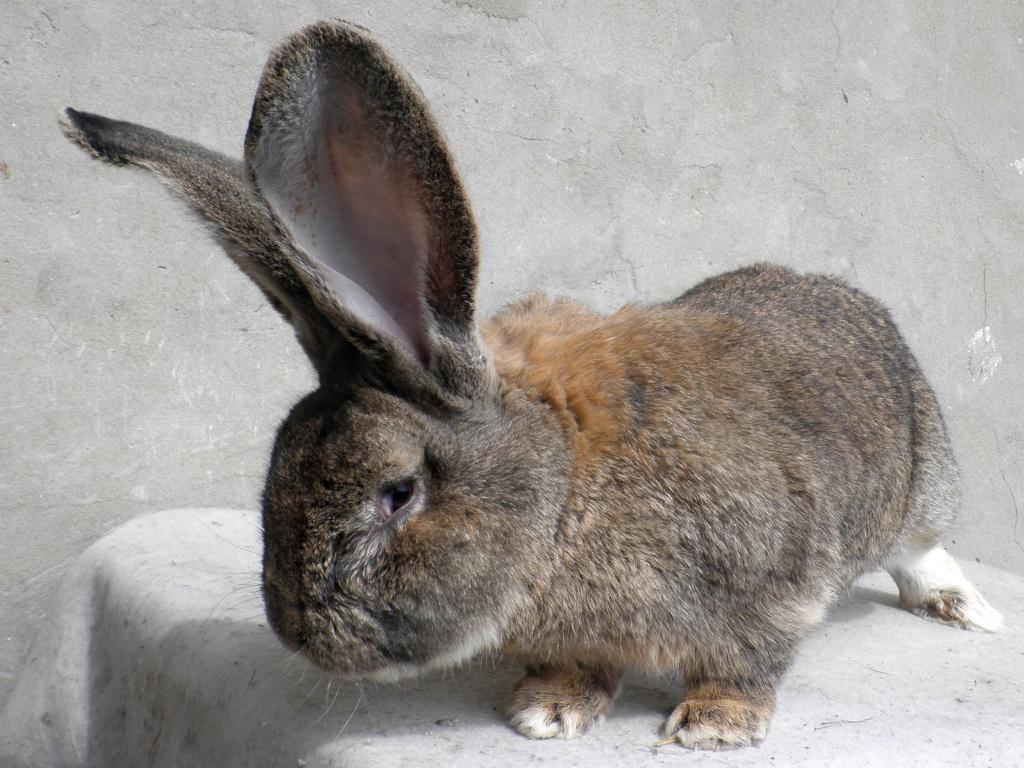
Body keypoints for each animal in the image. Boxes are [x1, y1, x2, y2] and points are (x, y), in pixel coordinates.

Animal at [60, 19, 1003, 751]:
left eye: (397, 493)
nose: (297, 633)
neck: (563, 486)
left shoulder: (776, 581)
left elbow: (747, 661)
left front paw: (713, 726)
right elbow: (580, 667)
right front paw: (547, 711)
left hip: (925, 484)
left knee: (922, 548)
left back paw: (967, 610)